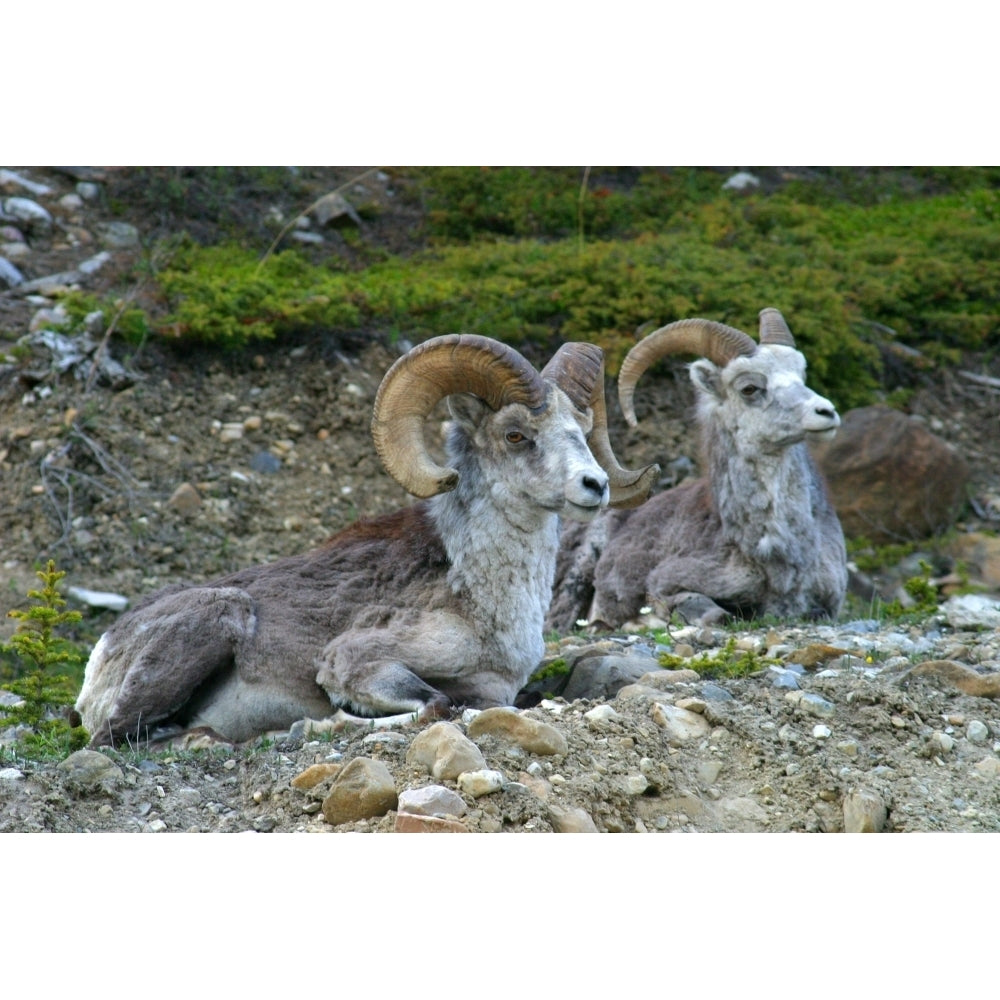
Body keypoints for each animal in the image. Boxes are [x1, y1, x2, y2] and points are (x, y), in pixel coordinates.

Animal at [78, 332, 656, 748]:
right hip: (219, 615)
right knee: (115, 738)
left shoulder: (493, 686)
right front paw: (322, 724)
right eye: (516, 434)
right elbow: (435, 704)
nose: (595, 485)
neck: (481, 596)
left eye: (582, 428)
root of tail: (104, 649)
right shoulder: (355, 662)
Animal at [552, 308, 848, 628]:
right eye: (749, 388)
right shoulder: (667, 584)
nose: (826, 412)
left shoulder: (825, 606)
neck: (778, 556)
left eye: (801, 375)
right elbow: (716, 614)